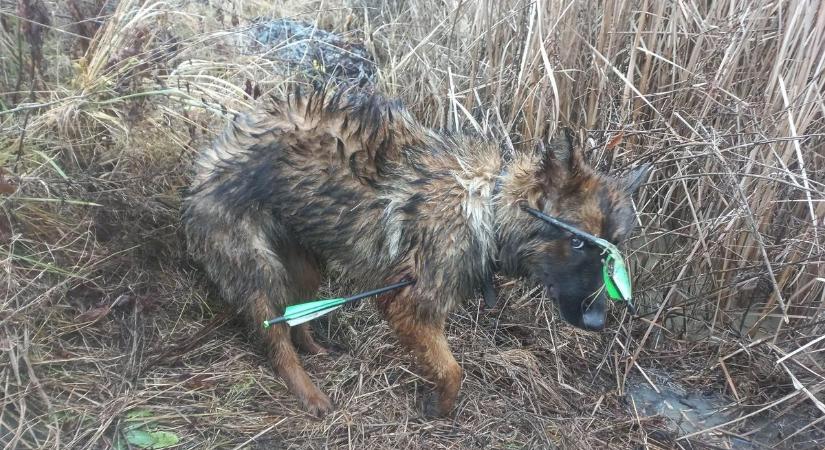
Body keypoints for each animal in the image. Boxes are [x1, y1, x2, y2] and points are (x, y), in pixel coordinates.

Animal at [180, 87, 652, 418]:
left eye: (612, 253)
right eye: (578, 242)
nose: (597, 322)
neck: (487, 205)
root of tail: (210, 154)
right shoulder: (409, 305)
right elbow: (454, 370)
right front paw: (440, 408)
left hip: (307, 261)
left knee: (297, 314)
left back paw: (313, 348)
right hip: (258, 268)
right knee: (274, 336)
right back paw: (309, 392)